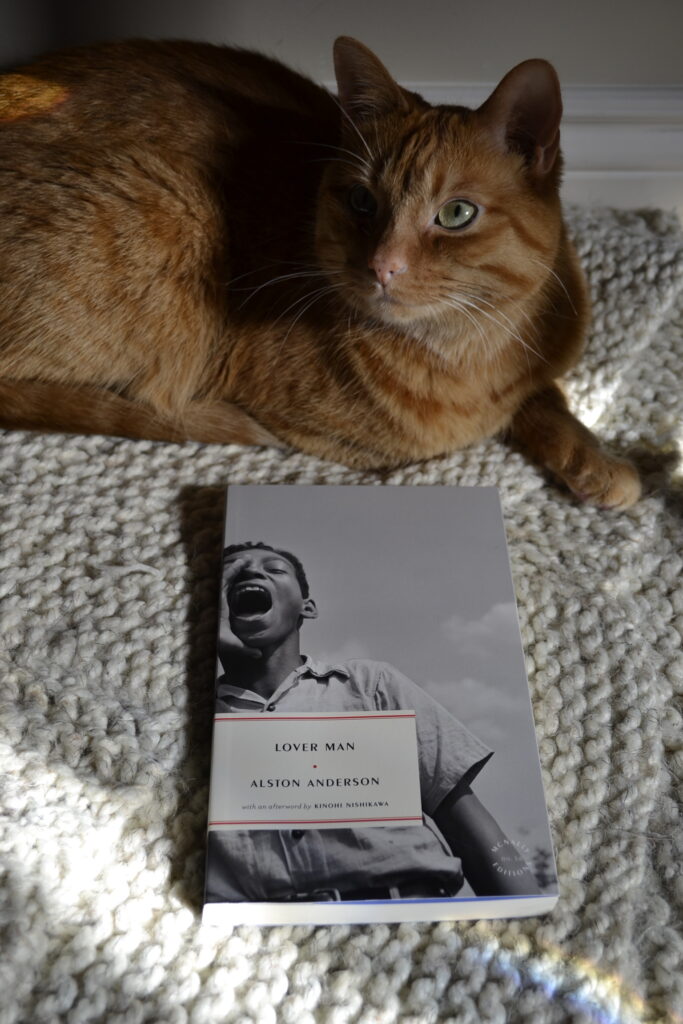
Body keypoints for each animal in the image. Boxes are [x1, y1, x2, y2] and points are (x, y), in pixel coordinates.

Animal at [1, 36, 643, 507]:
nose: (383, 265)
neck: (468, 354)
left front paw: (593, 457)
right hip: (173, 209)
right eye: (361, 201)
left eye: (456, 214)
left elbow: (547, 399)